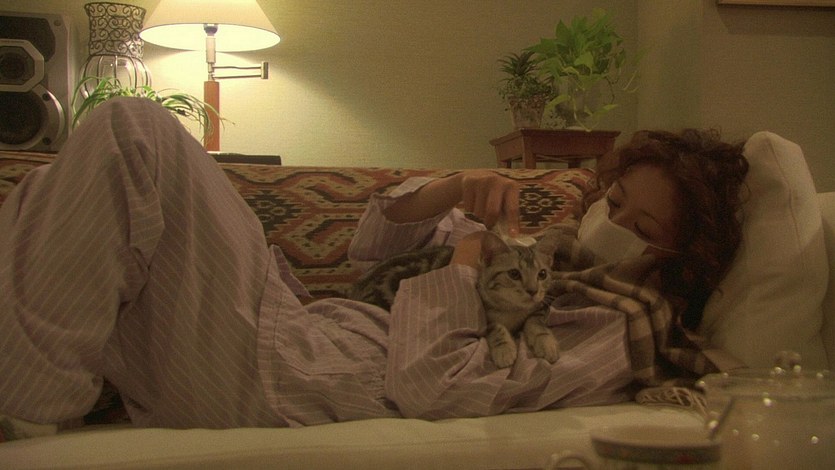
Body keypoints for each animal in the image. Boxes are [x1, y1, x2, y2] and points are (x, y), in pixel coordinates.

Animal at [349, 230, 561, 368]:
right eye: (514, 274)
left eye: (542, 274)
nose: (533, 291)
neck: (512, 311)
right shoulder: (482, 317)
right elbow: (496, 326)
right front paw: (504, 349)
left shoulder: (538, 307)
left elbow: (536, 322)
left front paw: (546, 343)